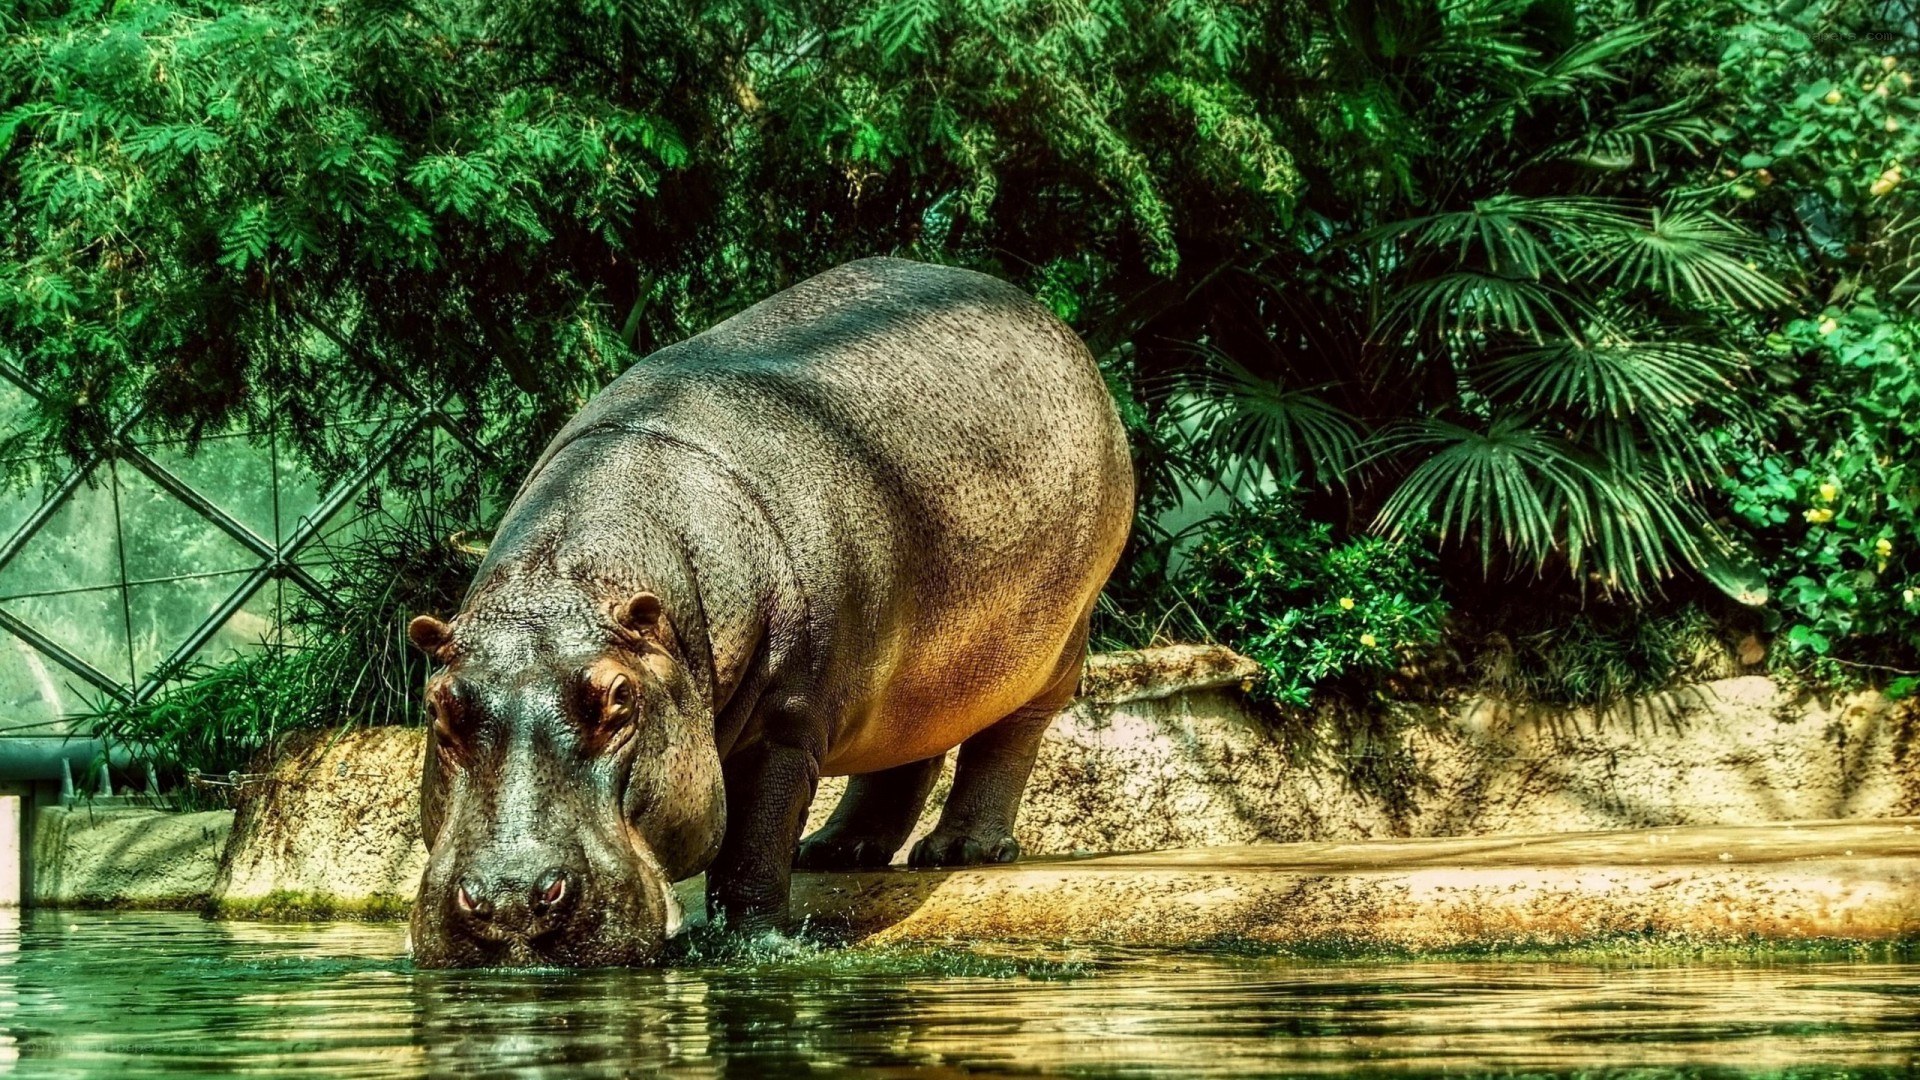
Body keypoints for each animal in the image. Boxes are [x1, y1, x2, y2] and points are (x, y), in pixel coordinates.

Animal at [405, 257, 1134, 967]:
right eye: (438, 707)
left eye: (618, 699)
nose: (511, 901)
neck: (572, 581)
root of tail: (1048, 321)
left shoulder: (785, 722)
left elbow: (754, 844)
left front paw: (753, 944)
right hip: (916, 669)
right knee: (909, 752)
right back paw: (836, 852)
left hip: (1055, 643)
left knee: (1008, 739)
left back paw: (960, 851)